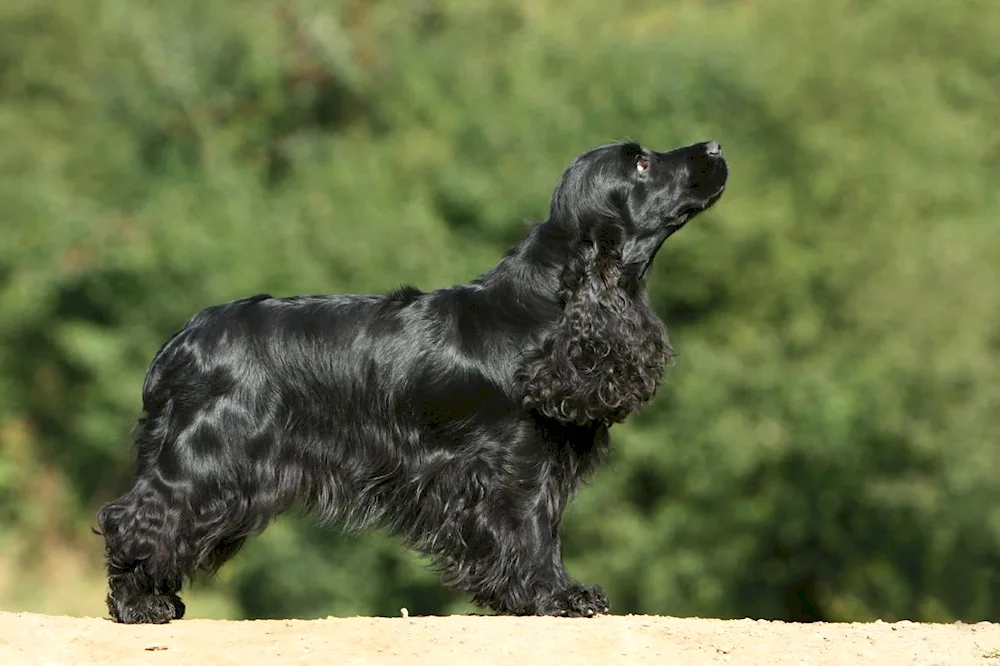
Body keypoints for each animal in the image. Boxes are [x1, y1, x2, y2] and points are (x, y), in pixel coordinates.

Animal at [95, 137, 728, 620]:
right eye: (640, 163)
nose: (715, 147)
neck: (555, 308)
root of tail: (182, 340)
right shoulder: (514, 463)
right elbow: (532, 529)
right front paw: (557, 596)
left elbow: (543, 528)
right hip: (209, 457)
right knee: (136, 516)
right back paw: (139, 605)